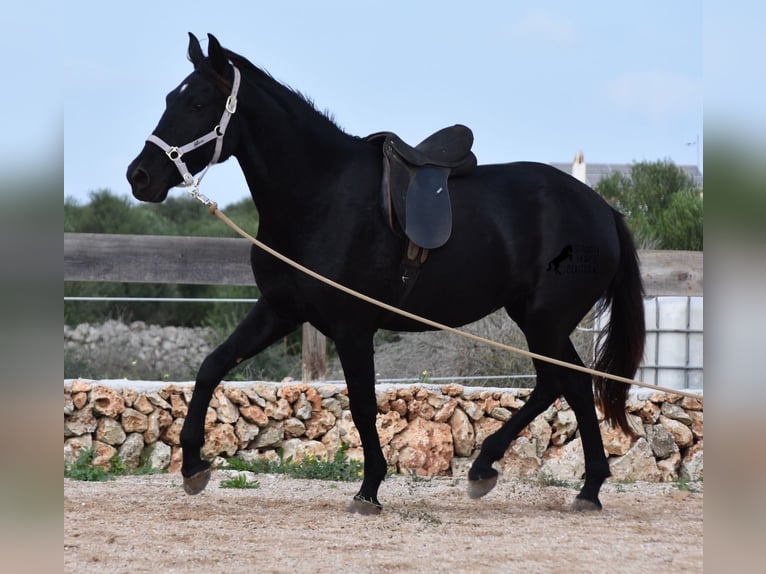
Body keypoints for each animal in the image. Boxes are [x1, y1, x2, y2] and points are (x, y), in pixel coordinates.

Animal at [129, 33, 644, 516]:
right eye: (170, 99)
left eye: (199, 103)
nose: (140, 177)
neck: (322, 196)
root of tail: (603, 210)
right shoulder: (280, 310)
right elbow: (212, 366)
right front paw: (193, 465)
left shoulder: (352, 327)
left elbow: (362, 405)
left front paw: (369, 489)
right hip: (538, 319)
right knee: (564, 384)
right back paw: (520, 474)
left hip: (545, 320)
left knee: (567, 384)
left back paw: (564, 483)